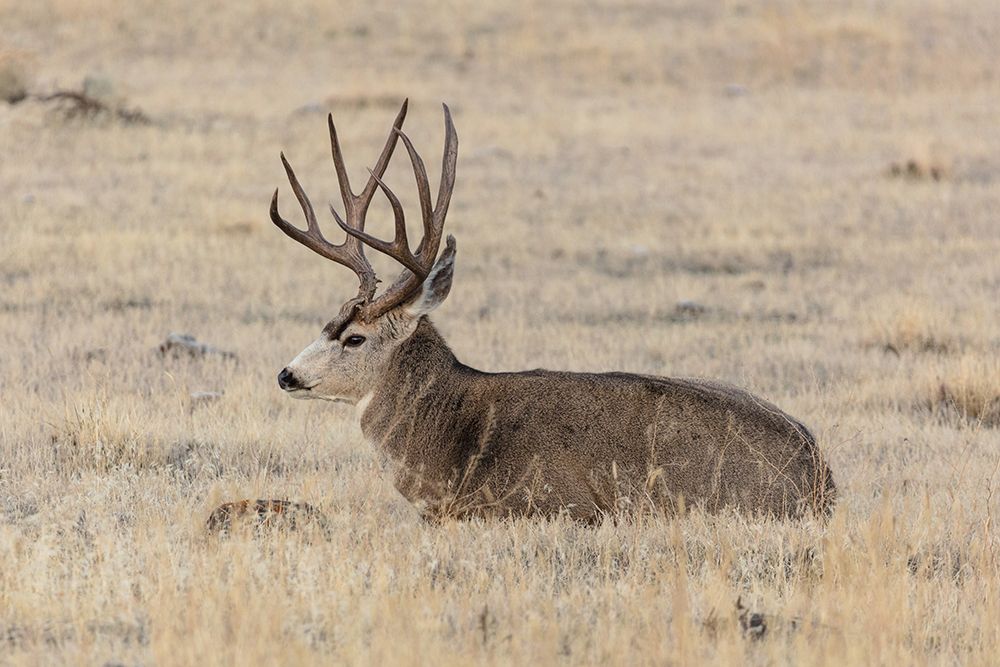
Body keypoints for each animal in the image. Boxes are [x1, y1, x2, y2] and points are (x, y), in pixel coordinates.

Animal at [208, 100, 835, 530]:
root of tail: (822, 480)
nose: (287, 374)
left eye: (356, 338)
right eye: (326, 322)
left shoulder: (550, 504)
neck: (450, 438)